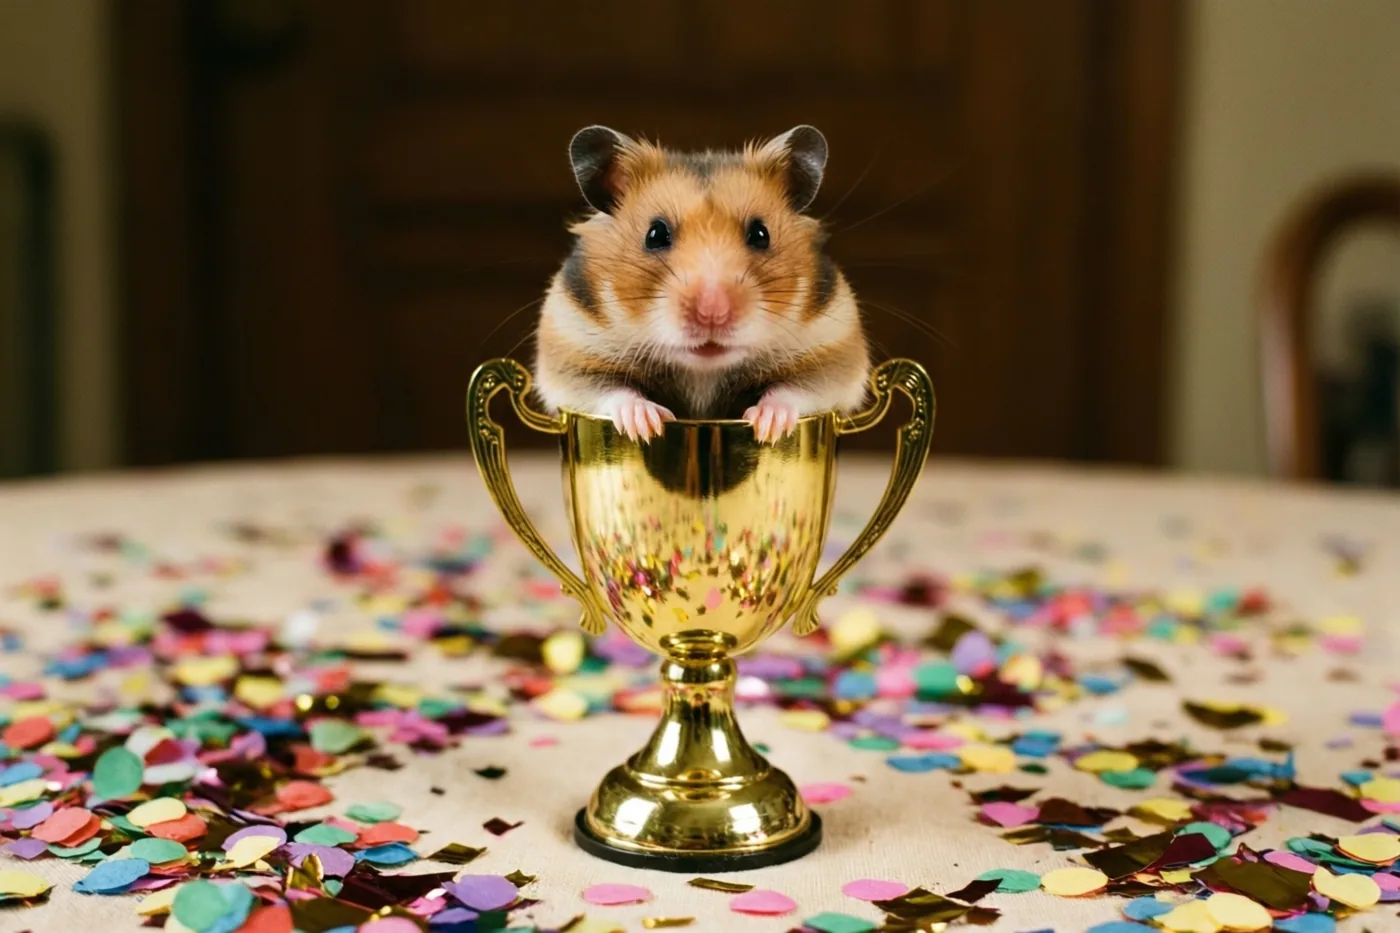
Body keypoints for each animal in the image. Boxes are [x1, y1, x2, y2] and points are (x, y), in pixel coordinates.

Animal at [531, 124, 871, 443]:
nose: (712, 313)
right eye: (655, 234)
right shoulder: (570, 350)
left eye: (761, 234)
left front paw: (768, 424)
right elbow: (609, 390)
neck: (702, 373)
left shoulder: (833, 349)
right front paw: (647, 423)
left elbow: (797, 389)